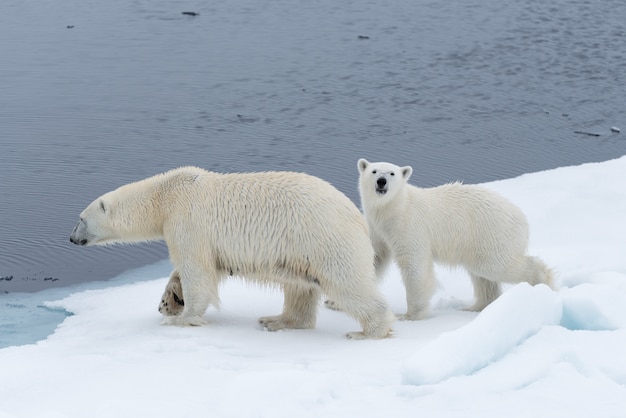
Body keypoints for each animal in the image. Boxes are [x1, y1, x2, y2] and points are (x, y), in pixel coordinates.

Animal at [70, 165, 392, 338]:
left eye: (80, 219)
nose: (72, 238)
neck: (166, 195)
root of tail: (356, 215)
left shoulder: (188, 220)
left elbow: (196, 269)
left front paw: (179, 318)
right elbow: (194, 269)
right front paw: (170, 299)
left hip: (324, 239)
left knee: (347, 283)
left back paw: (368, 331)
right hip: (301, 249)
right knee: (299, 286)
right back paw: (276, 320)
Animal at [356, 158, 552, 320]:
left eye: (392, 173)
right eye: (374, 171)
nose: (381, 181)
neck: (393, 209)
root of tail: (522, 218)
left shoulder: (409, 226)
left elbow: (414, 266)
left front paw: (409, 315)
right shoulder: (377, 229)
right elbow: (373, 256)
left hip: (491, 233)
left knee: (496, 266)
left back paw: (543, 280)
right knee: (482, 275)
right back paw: (475, 306)